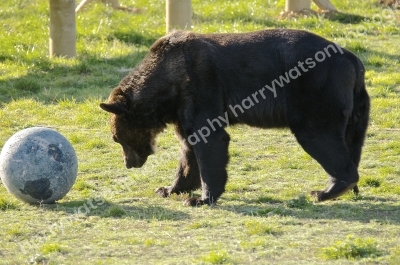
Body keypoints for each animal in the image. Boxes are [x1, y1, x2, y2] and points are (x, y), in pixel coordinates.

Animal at [99, 29, 368, 206]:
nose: (129, 163)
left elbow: (210, 141)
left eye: (116, 138)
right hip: (356, 107)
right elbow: (188, 149)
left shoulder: (200, 85)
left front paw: (201, 198)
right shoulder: (182, 107)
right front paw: (168, 189)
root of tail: (353, 60)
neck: (167, 88)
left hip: (315, 91)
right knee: (352, 142)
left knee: (319, 136)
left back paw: (325, 191)